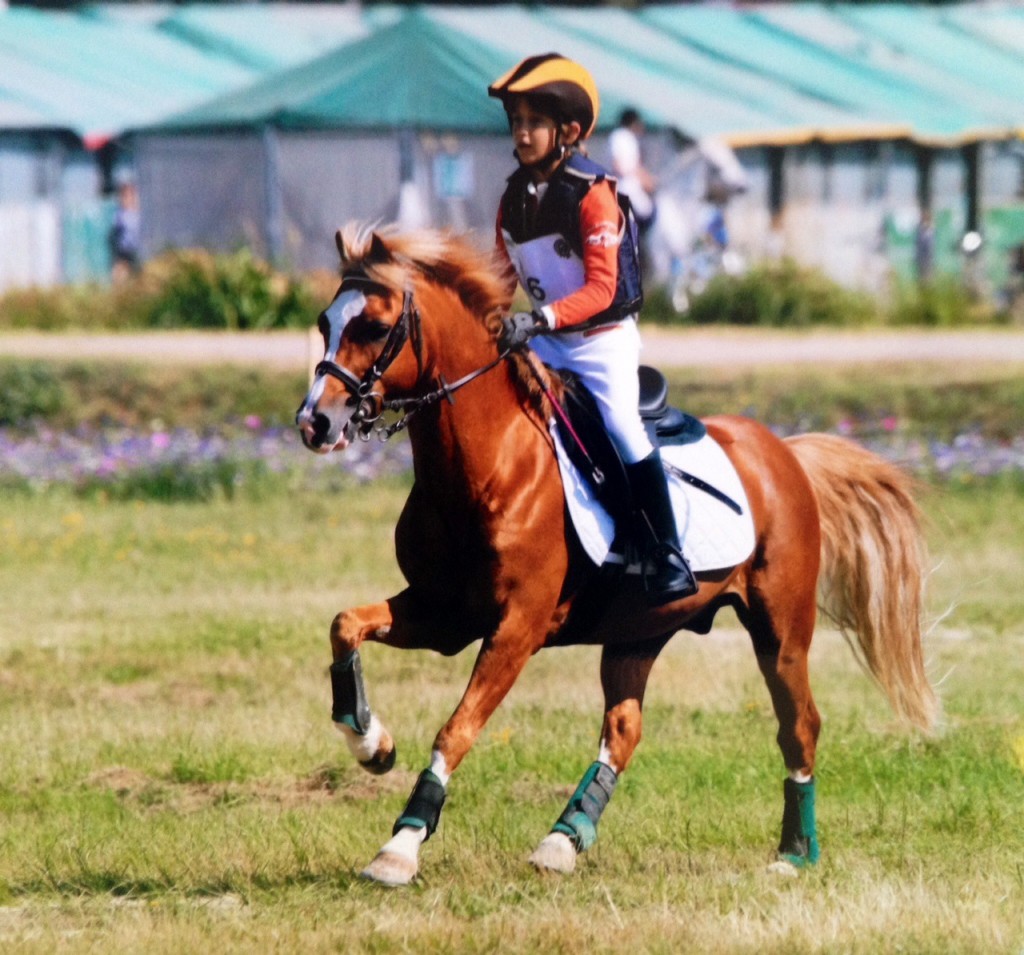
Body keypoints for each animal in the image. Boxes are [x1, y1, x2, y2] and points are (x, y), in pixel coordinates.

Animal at [294, 223, 937, 888]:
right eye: (324, 321)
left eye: (373, 327)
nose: (314, 422)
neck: (490, 464)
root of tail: (783, 452)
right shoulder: (443, 614)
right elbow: (345, 625)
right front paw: (371, 743)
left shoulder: (515, 628)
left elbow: (457, 729)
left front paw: (401, 845)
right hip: (638, 633)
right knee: (624, 731)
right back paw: (563, 838)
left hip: (779, 630)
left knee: (799, 726)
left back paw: (794, 851)